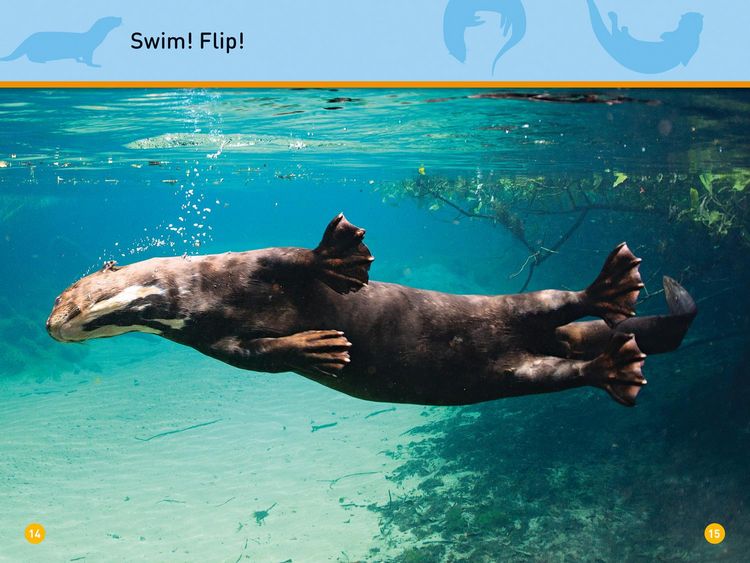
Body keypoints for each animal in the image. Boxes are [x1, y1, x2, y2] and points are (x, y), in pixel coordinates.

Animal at [47, 214, 696, 407]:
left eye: (63, 294)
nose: (52, 324)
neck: (203, 292)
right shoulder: (211, 342)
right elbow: (255, 356)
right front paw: (321, 348)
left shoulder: (250, 261)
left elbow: (295, 258)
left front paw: (338, 257)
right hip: (515, 373)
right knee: (562, 371)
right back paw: (617, 368)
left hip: (519, 306)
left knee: (557, 301)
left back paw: (611, 288)